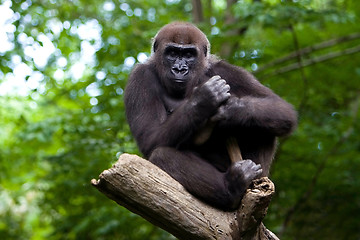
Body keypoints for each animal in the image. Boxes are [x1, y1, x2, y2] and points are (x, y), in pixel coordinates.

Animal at [124, 22, 298, 210]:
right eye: (172, 53)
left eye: (189, 55)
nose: (179, 69)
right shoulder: (139, 77)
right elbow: (149, 137)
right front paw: (203, 99)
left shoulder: (226, 70)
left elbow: (282, 109)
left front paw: (229, 110)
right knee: (161, 155)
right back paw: (231, 187)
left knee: (265, 126)